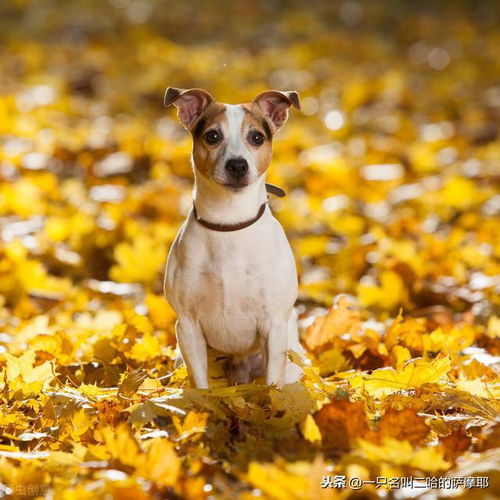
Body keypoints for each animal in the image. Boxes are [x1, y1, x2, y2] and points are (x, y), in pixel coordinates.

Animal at [164, 88, 304, 388]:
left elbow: (272, 384)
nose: (237, 165)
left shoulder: (274, 326)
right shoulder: (188, 325)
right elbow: (201, 385)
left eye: (257, 137)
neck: (229, 223)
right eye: (213, 136)